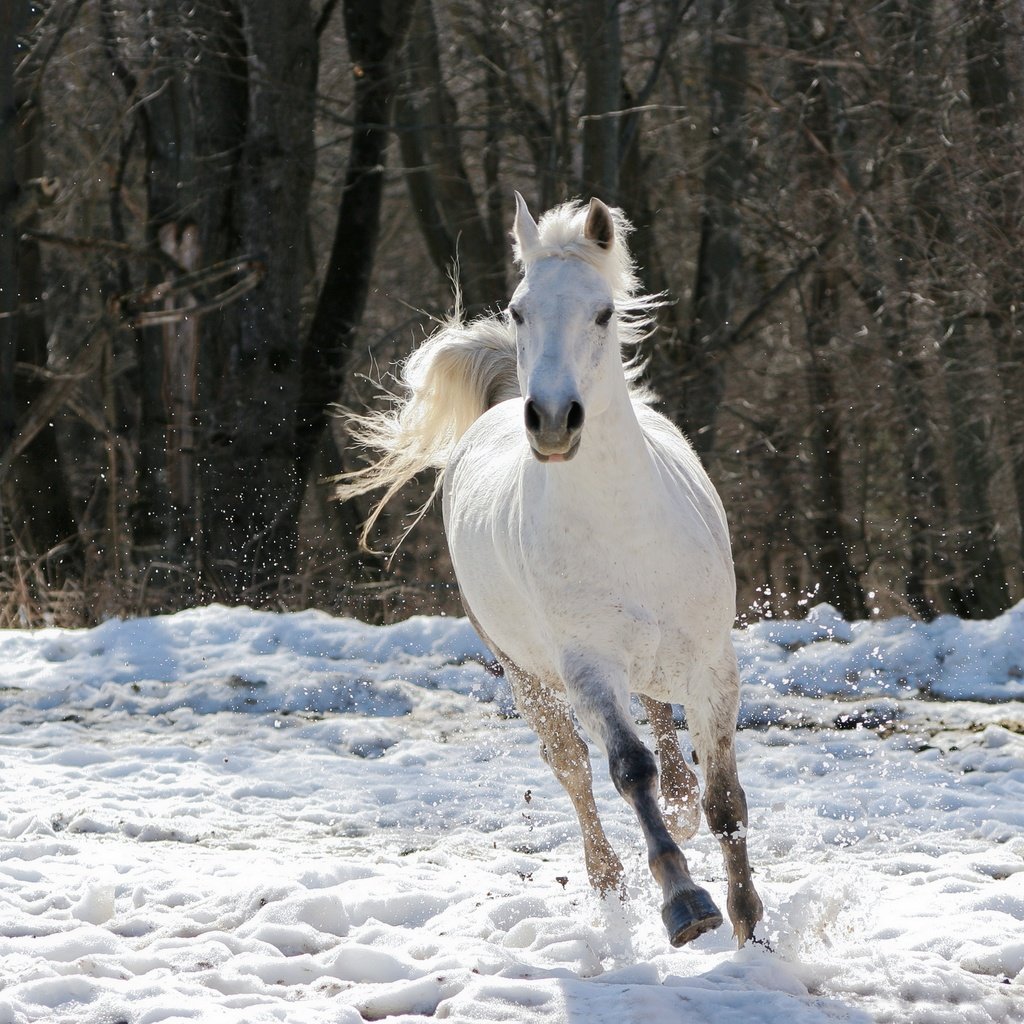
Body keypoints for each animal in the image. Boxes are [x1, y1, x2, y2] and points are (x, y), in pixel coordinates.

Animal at [339, 193, 765, 950]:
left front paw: (750, 927)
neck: (623, 525)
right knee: (574, 770)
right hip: (527, 674)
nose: (554, 421)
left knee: (662, 727)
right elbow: (626, 770)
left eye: (602, 312)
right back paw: (609, 882)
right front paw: (687, 905)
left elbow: (724, 799)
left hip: (657, 657)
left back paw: (679, 807)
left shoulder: (713, 662)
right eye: (518, 310)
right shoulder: (586, 667)